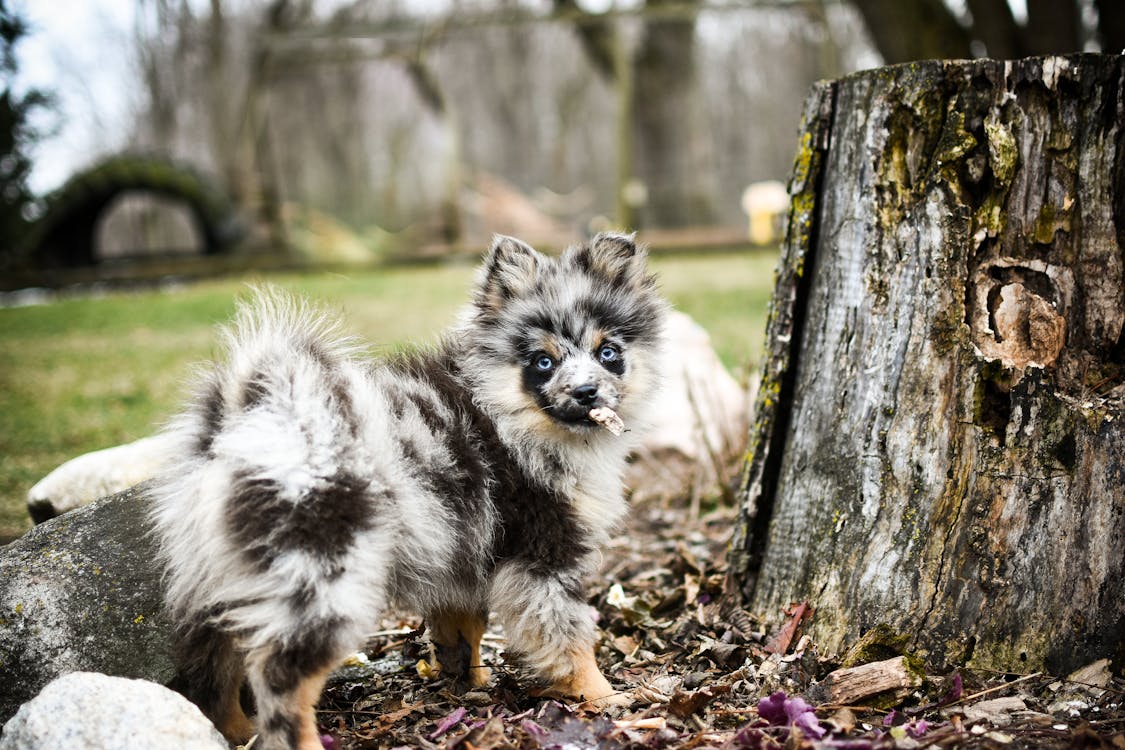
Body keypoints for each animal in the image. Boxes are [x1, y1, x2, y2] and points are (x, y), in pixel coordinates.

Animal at [149, 231, 666, 746]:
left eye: (607, 352)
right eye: (543, 362)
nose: (585, 392)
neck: (508, 414)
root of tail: (245, 417)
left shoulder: (462, 558)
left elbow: (464, 629)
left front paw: (470, 683)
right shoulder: (544, 555)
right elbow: (570, 637)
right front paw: (604, 697)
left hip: (222, 581)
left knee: (216, 663)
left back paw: (237, 731)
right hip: (325, 578)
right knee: (280, 676)